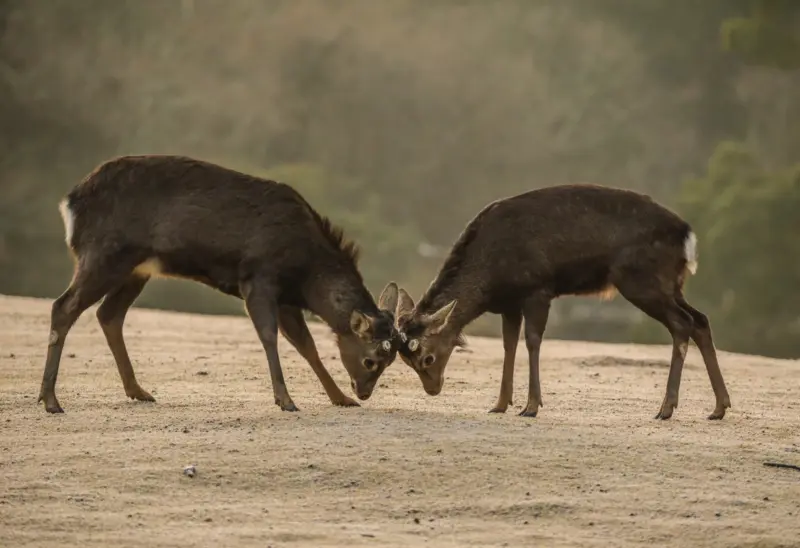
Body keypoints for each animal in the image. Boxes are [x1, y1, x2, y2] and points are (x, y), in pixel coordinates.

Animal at [39, 153, 400, 412]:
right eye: (370, 359)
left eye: (392, 358)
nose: (363, 392)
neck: (307, 275)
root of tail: (70, 203)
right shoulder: (258, 277)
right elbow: (269, 336)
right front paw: (285, 400)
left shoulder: (286, 297)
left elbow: (306, 344)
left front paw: (339, 398)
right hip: (103, 255)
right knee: (64, 306)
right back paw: (51, 400)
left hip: (135, 269)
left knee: (108, 314)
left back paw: (138, 391)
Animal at [394, 184, 732, 420]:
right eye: (405, 359)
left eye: (427, 357)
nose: (433, 389)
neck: (490, 279)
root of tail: (687, 235)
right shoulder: (509, 303)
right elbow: (508, 345)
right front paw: (500, 404)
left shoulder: (537, 289)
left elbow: (532, 341)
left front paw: (531, 405)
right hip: (670, 284)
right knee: (700, 319)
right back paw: (719, 407)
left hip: (642, 280)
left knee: (682, 322)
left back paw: (667, 407)